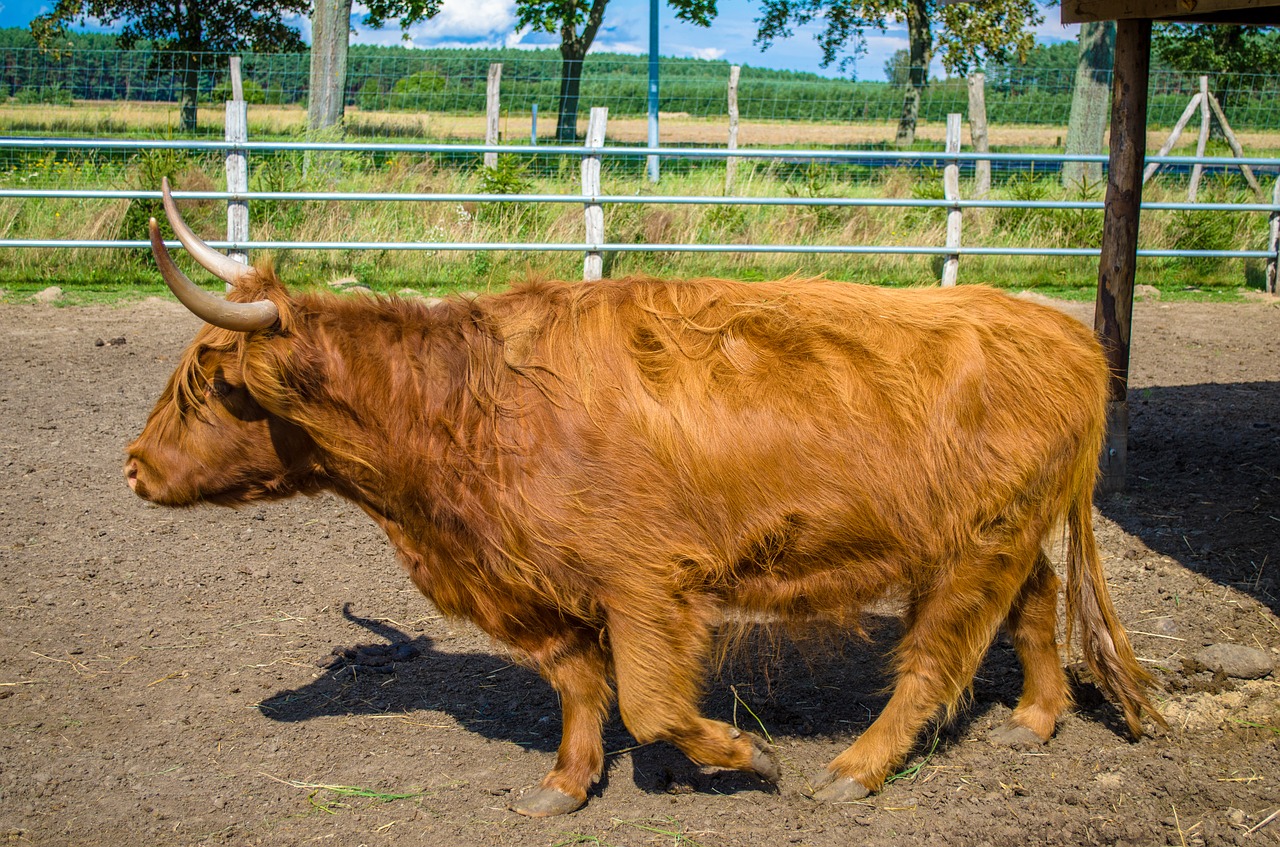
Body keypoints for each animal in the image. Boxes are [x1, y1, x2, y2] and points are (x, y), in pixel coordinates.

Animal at [124, 182, 1167, 818]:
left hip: (973, 544)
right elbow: (580, 685)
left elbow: (654, 702)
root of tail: (1066, 335)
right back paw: (1035, 719)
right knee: (1034, 605)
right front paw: (564, 783)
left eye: (205, 389)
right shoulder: (545, 581)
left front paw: (749, 756)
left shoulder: (645, 584)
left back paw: (852, 769)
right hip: (1002, 533)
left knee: (934, 660)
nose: (132, 465)